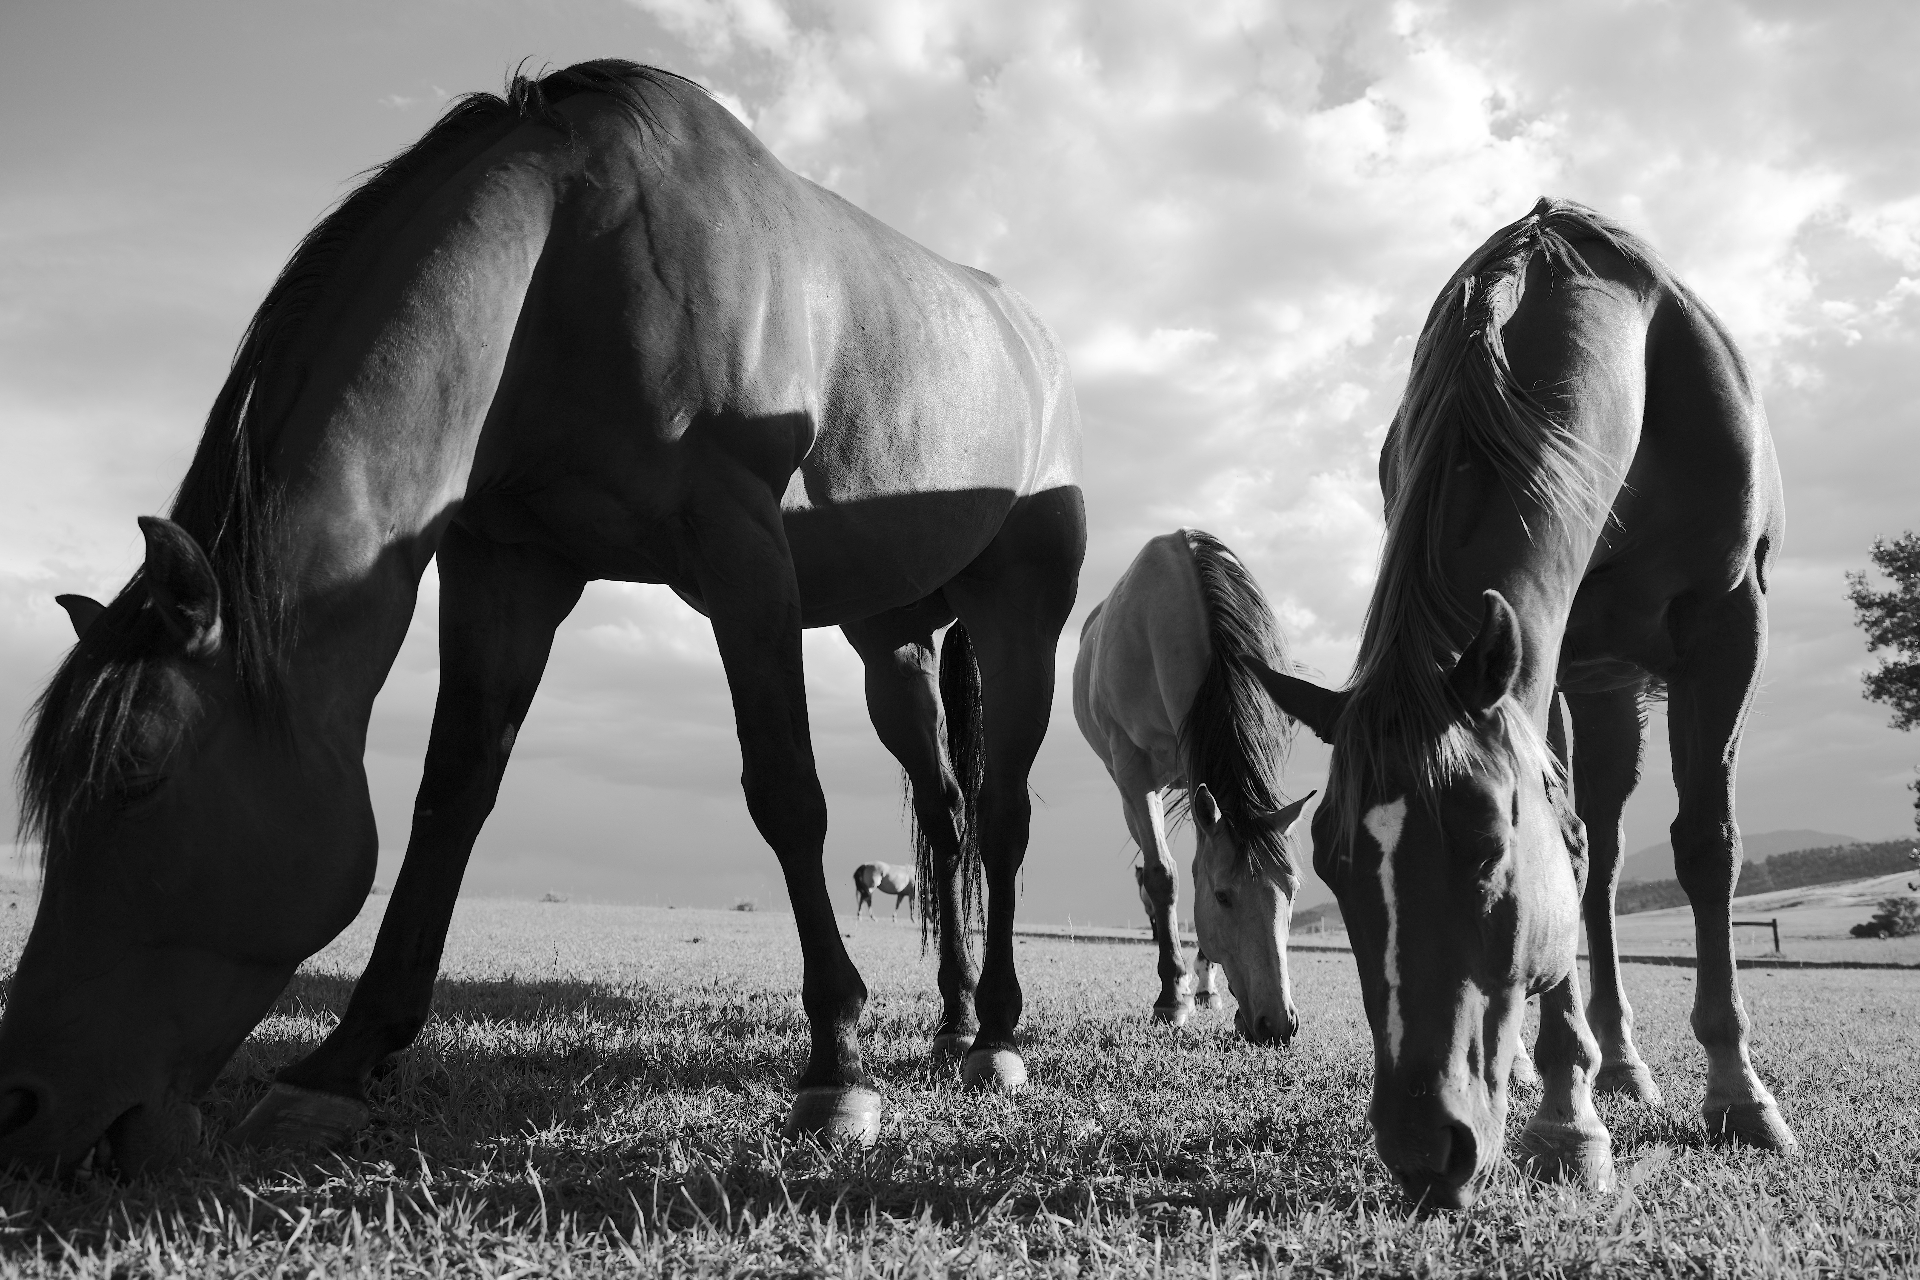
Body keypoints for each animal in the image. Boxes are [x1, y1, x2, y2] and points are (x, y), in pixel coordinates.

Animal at [1, 61, 1083, 1173]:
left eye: (139, 772)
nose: (24, 1105)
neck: (566, 260)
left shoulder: (742, 553)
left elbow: (787, 794)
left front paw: (836, 1065)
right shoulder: (509, 568)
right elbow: (452, 795)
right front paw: (343, 1061)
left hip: (1022, 612)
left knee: (1001, 814)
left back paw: (996, 1035)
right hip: (890, 643)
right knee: (947, 816)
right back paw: (954, 1018)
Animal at [1073, 530, 1310, 1039]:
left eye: (1293, 889)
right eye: (1223, 897)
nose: (1279, 1024)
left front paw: (1203, 984)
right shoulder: (1134, 770)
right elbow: (1163, 876)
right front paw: (1171, 996)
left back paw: (1204, 984)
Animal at [1253, 198, 1794, 1209]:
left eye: (1487, 846)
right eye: (1333, 866)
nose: (1425, 1149)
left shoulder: (1731, 622)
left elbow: (1707, 850)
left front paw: (1739, 1099)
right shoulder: (1545, 660)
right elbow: (1576, 855)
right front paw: (1568, 1120)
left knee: (1617, 852)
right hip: (1596, 688)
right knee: (1602, 859)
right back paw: (1611, 1066)